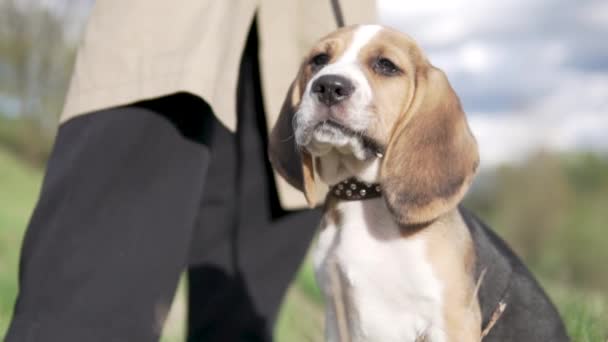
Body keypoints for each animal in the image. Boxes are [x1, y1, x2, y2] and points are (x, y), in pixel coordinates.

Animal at [268, 24, 568, 342]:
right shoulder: (336, 316)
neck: (365, 197)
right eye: (319, 60)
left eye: (386, 65)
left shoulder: (451, 320)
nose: (328, 86)